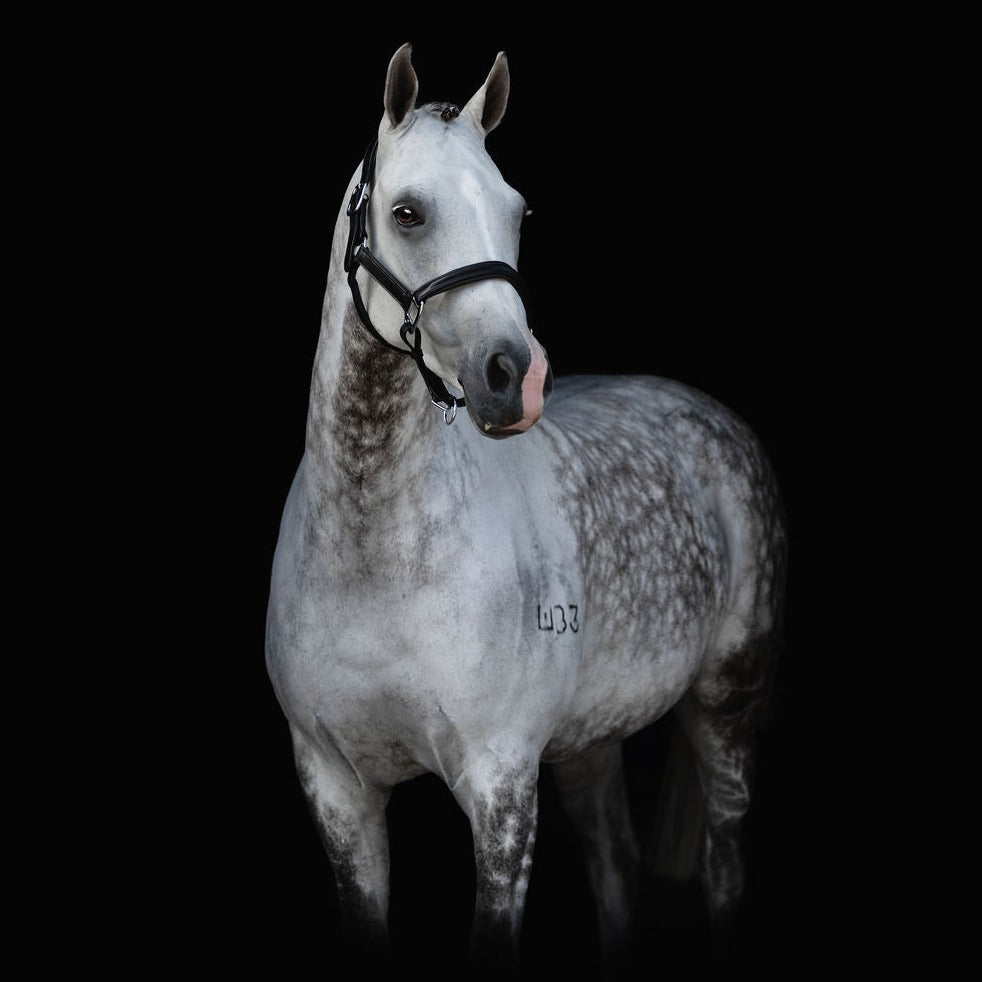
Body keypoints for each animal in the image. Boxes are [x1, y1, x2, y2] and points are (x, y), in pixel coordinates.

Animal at [265, 42, 787, 973]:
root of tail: (709, 417)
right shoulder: (336, 791)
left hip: (726, 707)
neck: (376, 560)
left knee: (725, 864)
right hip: (590, 742)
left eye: (516, 210)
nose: (517, 377)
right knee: (615, 866)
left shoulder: (501, 787)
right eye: (407, 212)